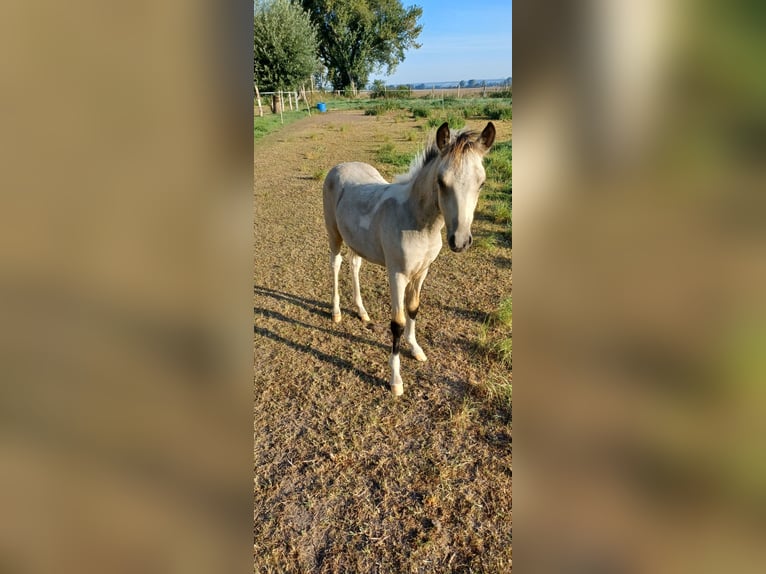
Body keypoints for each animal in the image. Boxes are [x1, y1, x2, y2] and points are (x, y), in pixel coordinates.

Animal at [320, 121, 496, 396]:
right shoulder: (397, 274)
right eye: (441, 181)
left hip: (356, 240)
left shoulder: (422, 271)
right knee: (335, 264)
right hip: (333, 233)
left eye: (482, 183)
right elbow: (398, 323)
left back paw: (362, 312)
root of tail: (340, 166)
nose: (460, 241)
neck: (418, 221)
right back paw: (336, 312)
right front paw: (396, 380)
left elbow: (414, 309)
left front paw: (416, 349)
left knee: (355, 265)